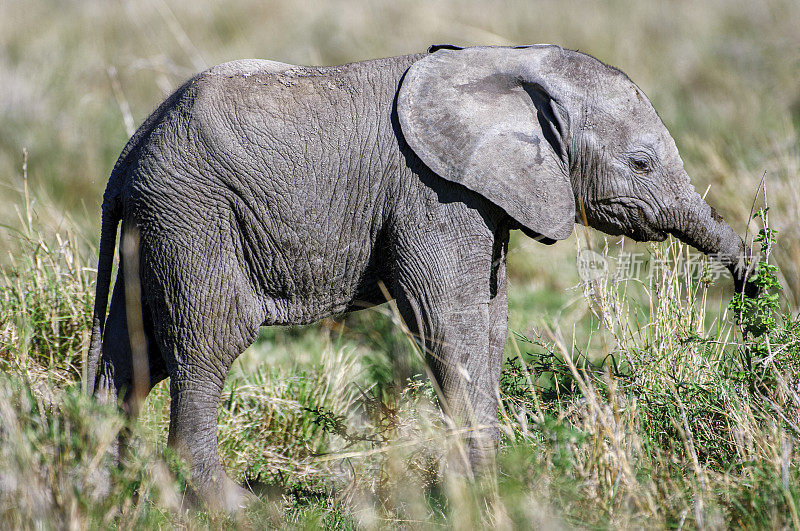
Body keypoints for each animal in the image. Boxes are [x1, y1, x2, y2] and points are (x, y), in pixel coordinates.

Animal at [89, 44, 756, 512]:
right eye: (640, 162)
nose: (754, 288)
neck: (504, 61)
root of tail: (124, 159)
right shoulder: (433, 194)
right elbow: (447, 322)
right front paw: (480, 492)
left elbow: (490, 323)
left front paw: (482, 483)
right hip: (194, 215)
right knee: (206, 344)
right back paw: (231, 506)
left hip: (156, 224)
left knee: (130, 354)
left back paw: (98, 487)